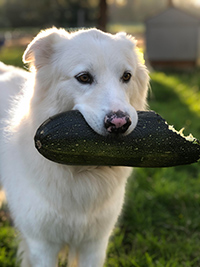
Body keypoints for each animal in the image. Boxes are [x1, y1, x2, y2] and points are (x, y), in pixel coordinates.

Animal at [0, 28, 148, 266]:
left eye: (126, 76)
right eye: (84, 77)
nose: (119, 123)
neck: (81, 169)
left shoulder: (95, 244)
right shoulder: (42, 245)